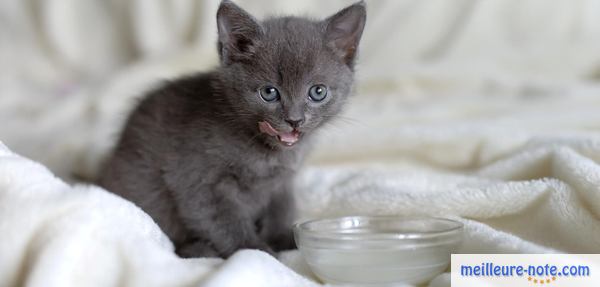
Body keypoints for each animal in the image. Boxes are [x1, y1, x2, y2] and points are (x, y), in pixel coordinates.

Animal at [98, 0, 366, 258]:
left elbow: (282, 208)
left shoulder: (282, 183)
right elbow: (225, 222)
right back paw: (199, 249)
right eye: (269, 92)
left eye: (318, 92)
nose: (294, 120)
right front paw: (258, 251)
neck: (265, 153)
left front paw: (283, 239)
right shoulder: (198, 181)